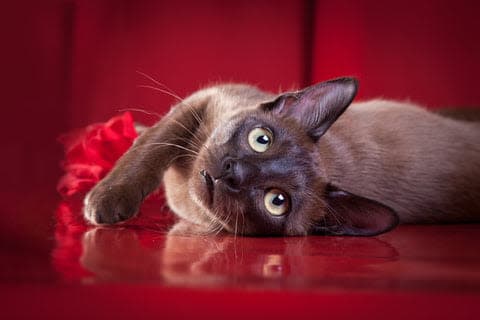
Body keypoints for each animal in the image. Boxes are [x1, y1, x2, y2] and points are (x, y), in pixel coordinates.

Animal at [83, 78, 480, 236]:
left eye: (277, 201)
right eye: (262, 139)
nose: (232, 173)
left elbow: (153, 143)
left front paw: (102, 204)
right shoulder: (204, 100)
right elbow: (153, 144)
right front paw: (109, 198)